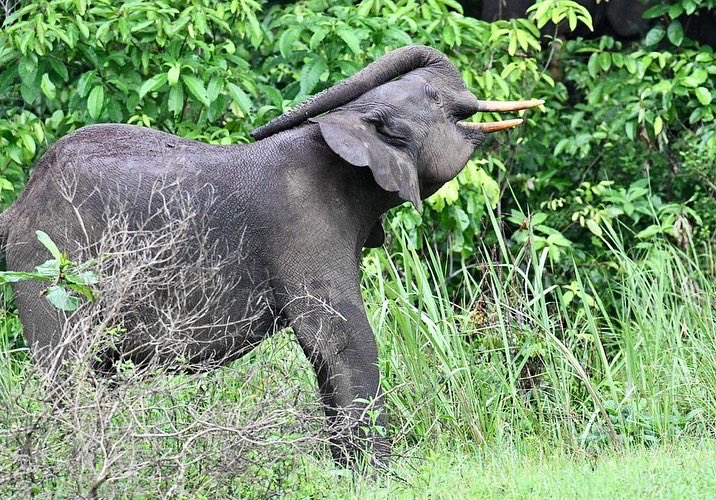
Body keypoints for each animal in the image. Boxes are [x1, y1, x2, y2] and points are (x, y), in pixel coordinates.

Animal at [0, 45, 541, 466]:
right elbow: (343, 337)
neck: (343, 130)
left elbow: (325, 351)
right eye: (436, 100)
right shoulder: (303, 226)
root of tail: (18, 206)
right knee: (66, 369)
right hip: (51, 265)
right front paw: (379, 477)